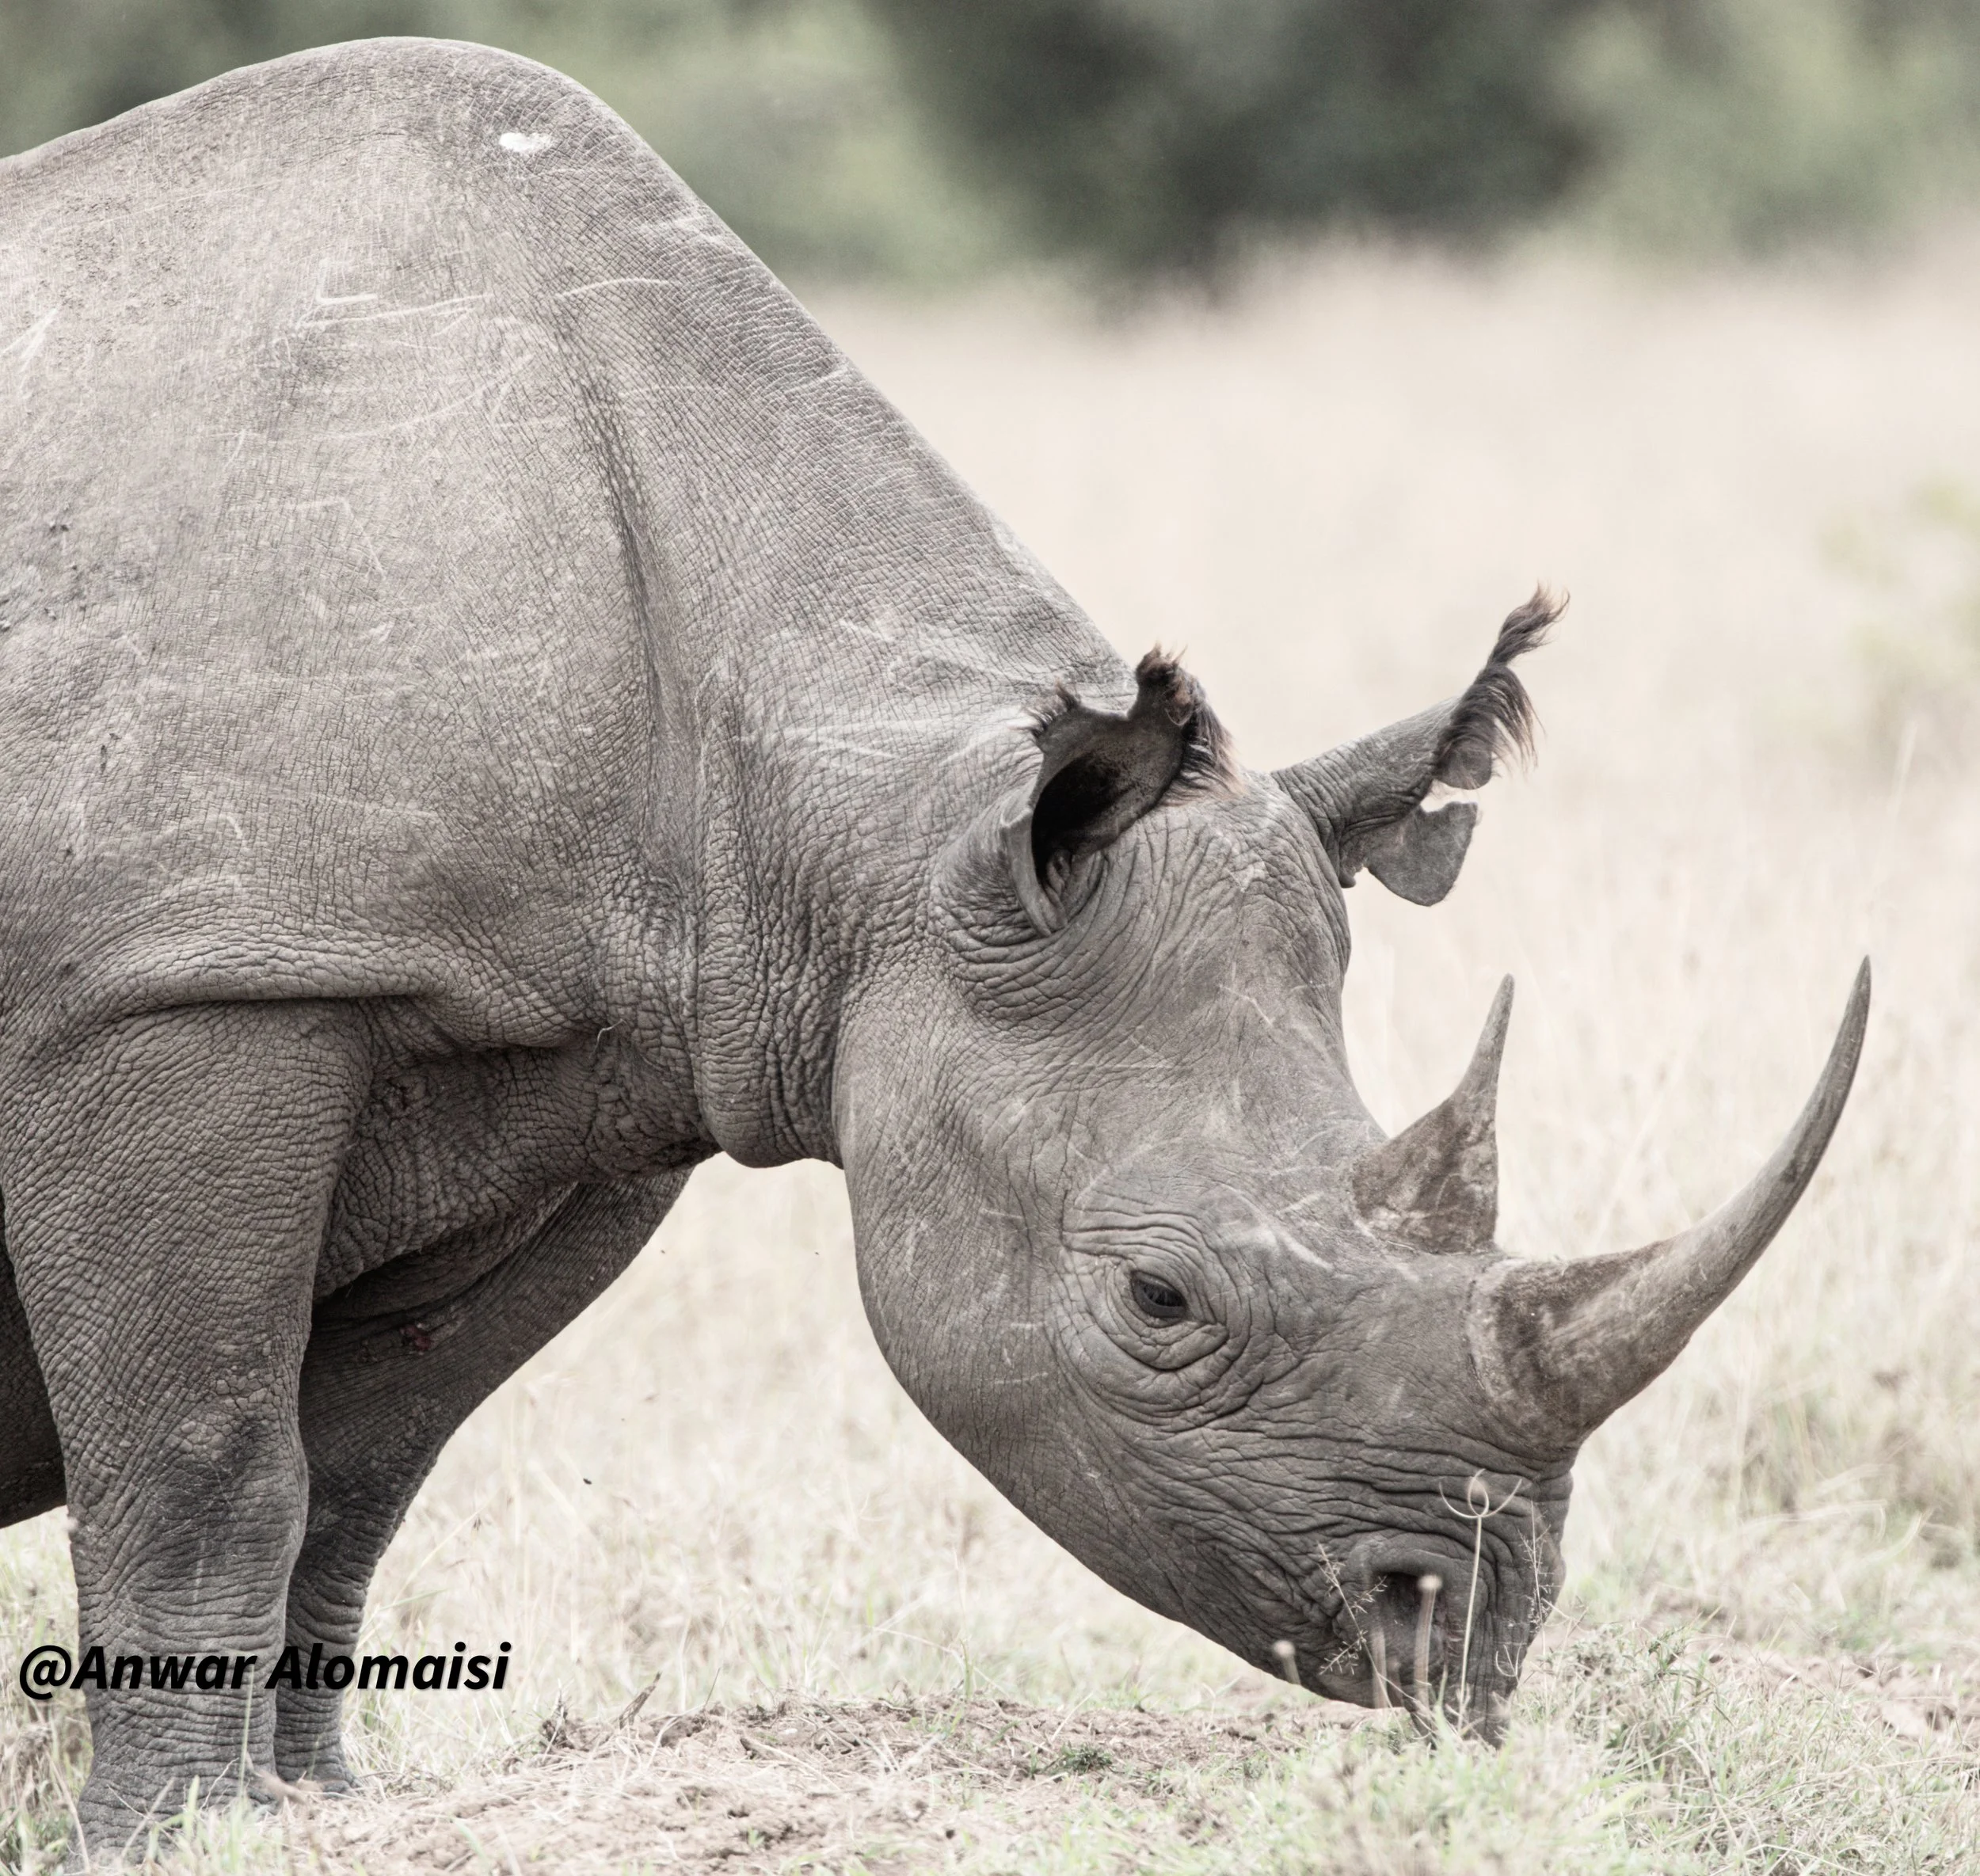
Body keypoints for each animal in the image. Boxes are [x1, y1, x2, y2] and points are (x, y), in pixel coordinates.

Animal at [0, 38, 1867, 1849]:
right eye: (1157, 1296)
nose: (1463, 1636)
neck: (854, 797)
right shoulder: (194, 982)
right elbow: (210, 1447)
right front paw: (176, 1831)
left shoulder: (606, 1063)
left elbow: (366, 1460)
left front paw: (316, 1807)